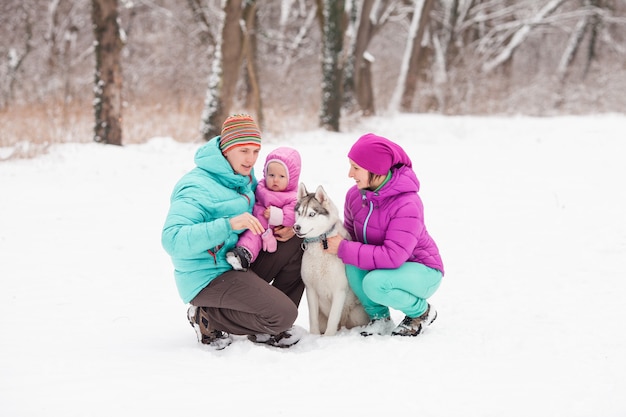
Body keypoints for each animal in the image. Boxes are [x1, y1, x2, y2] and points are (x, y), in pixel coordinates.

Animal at [294, 182, 370, 334]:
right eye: (299, 212)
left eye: (312, 214)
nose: (296, 227)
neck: (321, 242)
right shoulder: (311, 290)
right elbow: (313, 319)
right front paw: (314, 336)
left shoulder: (339, 291)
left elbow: (333, 319)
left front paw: (328, 337)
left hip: (356, 314)